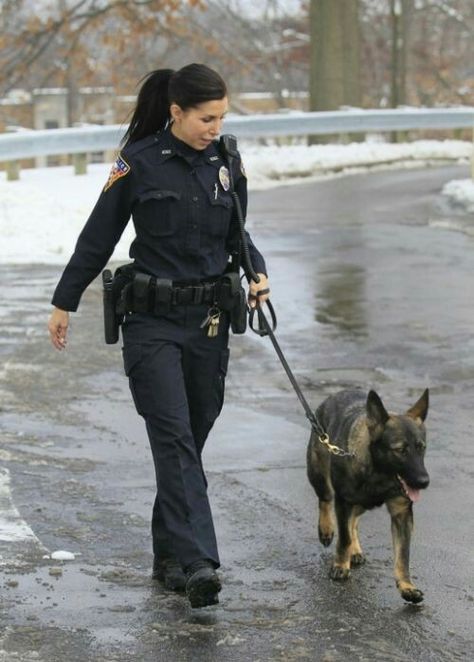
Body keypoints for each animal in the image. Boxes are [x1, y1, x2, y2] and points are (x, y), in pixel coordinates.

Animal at [306, 390, 432, 608]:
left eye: (421, 448)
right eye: (400, 450)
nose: (424, 482)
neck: (379, 474)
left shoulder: (401, 515)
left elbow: (403, 555)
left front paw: (407, 586)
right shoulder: (343, 502)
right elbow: (344, 537)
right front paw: (341, 565)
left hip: (362, 503)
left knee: (353, 522)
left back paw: (355, 550)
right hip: (319, 477)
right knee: (325, 501)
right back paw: (326, 530)